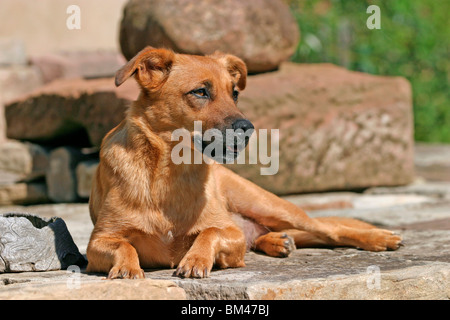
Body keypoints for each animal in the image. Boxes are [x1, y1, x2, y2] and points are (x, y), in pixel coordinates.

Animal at [86, 46, 402, 278]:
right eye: (200, 92)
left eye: (234, 93)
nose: (248, 128)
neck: (168, 173)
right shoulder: (97, 243)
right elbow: (124, 246)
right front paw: (127, 267)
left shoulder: (231, 233)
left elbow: (211, 231)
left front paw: (197, 259)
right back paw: (276, 241)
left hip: (271, 206)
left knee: (329, 229)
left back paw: (379, 237)